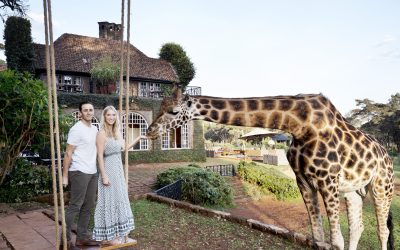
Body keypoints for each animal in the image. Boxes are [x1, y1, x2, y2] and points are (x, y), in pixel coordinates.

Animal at [146, 87, 394, 249]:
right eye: (160, 106)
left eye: (173, 111)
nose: (149, 131)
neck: (299, 124)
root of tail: (387, 155)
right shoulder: (303, 180)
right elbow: (317, 236)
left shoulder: (328, 180)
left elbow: (336, 240)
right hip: (353, 190)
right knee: (358, 227)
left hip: (382, 187)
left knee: (383, 229)